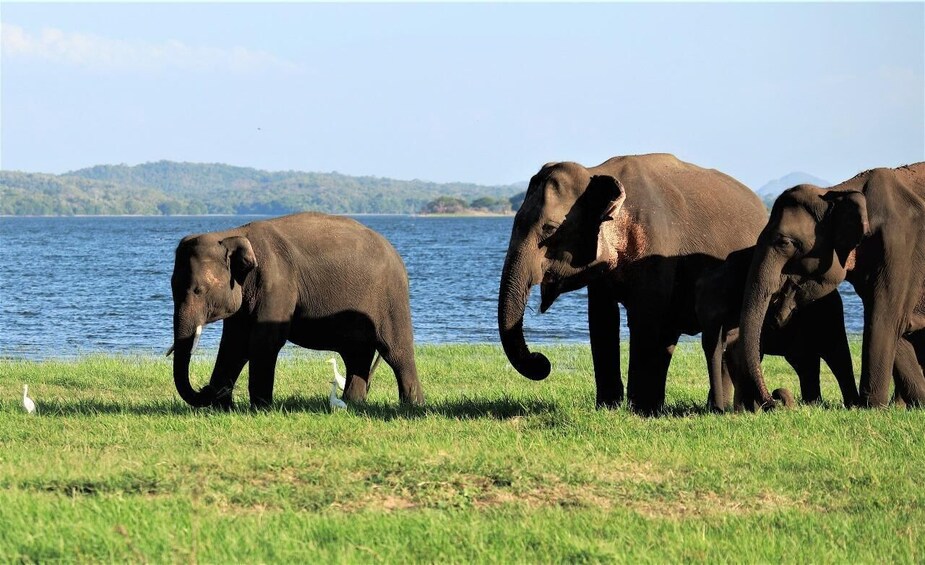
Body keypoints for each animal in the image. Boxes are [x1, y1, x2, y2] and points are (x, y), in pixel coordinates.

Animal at [168, 213, 424, 410]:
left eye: (199, 290)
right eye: (172, 287)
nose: (207, 389)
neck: (232, 233)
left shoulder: (277, 282)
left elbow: (264, 341)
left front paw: (261, 409)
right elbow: (234, 343)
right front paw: (223, 408)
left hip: (391, 297)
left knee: (395, 351)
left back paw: (412, 405)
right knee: (356, 353)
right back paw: (353, 404)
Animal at [498, 152, 764, 412]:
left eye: (550, 229)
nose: (542, 360)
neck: (597, 171)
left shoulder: (657, 247)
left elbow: (644, 316)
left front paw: (638, 410)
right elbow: (601, 318)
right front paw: (608, 407)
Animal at [696, 242, 856, 410]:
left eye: (725, 307)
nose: (775, 397)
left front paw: (745, 409)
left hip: (829, 317)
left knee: (836, 356)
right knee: (806, 362)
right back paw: (812, 404)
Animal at [736, 161, 924, 408]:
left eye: (785, 243)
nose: (776, 397)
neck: (837, 192)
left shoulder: (900, 246)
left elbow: (886, 319)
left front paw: (872, 406)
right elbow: (894, 324)